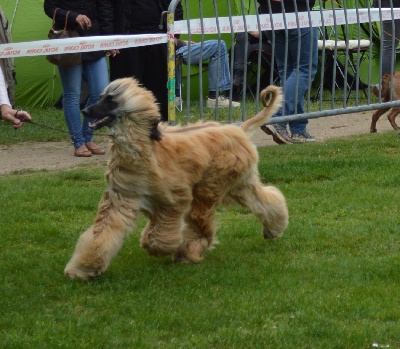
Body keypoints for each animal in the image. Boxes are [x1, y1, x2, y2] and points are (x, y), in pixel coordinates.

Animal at [65, 77, 290, 278]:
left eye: (111, 100)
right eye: (101, 97)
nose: (85, 111)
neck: (144, 151)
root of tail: (237, 129)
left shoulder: (174, 199)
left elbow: (159, 236)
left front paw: (157, 247)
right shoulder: (121, 198)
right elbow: (103, 232)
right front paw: (84, 269)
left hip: (211, 184)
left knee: (202, 222)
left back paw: (189, 252)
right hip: (239, 183)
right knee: (264, 199)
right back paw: (274, 229)